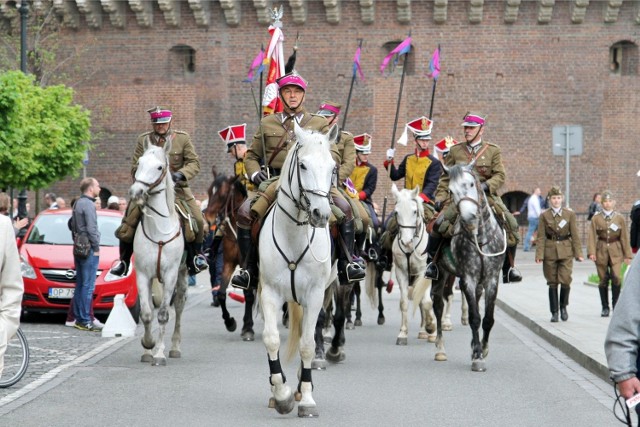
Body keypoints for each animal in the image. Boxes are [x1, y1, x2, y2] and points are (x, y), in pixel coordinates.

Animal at [129, 140, 188, 368]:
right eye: (139, 163)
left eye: (160, 167)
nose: (136, 192)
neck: (158, 231)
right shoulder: (143, 274)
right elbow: (146, 314)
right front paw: (148, 346)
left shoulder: (170, 274)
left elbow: (163, 315)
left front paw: (160, 353)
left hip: (182, 273)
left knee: (178, 306)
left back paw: (175, 347)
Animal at [205, 167, 255, 342]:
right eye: (209, 191)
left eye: (222, 194)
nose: (208, 219)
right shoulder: (228, 263)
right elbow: (221, 294)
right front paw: (230, 322)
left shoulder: (249, 266)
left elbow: (248, 293)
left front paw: (248, 328)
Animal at [390, 186, 436, 346]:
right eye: (396, 212)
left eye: (414, 211)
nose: (406, 242)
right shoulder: (401, 272)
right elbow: (404, 302)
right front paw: (403, 334)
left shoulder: (424, 272)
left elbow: (427, 302)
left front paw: (431, 326)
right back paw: (423, 331)